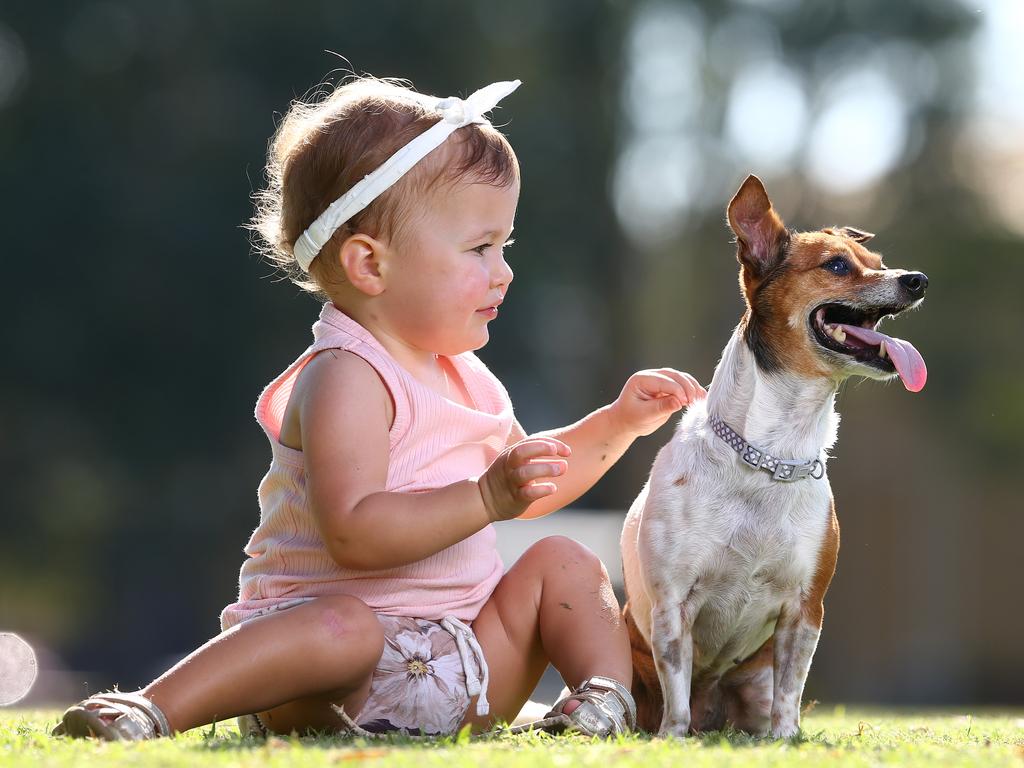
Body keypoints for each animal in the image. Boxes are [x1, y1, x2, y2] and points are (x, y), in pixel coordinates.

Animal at [618, 174, 933, 741]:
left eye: (876, 260)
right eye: (837, 265)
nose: (916, 280)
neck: (771, 456)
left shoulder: (804, 609)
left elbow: (791, 689)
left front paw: (785, 739)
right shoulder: (673, 604)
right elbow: (675, 689)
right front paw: (672, 738)